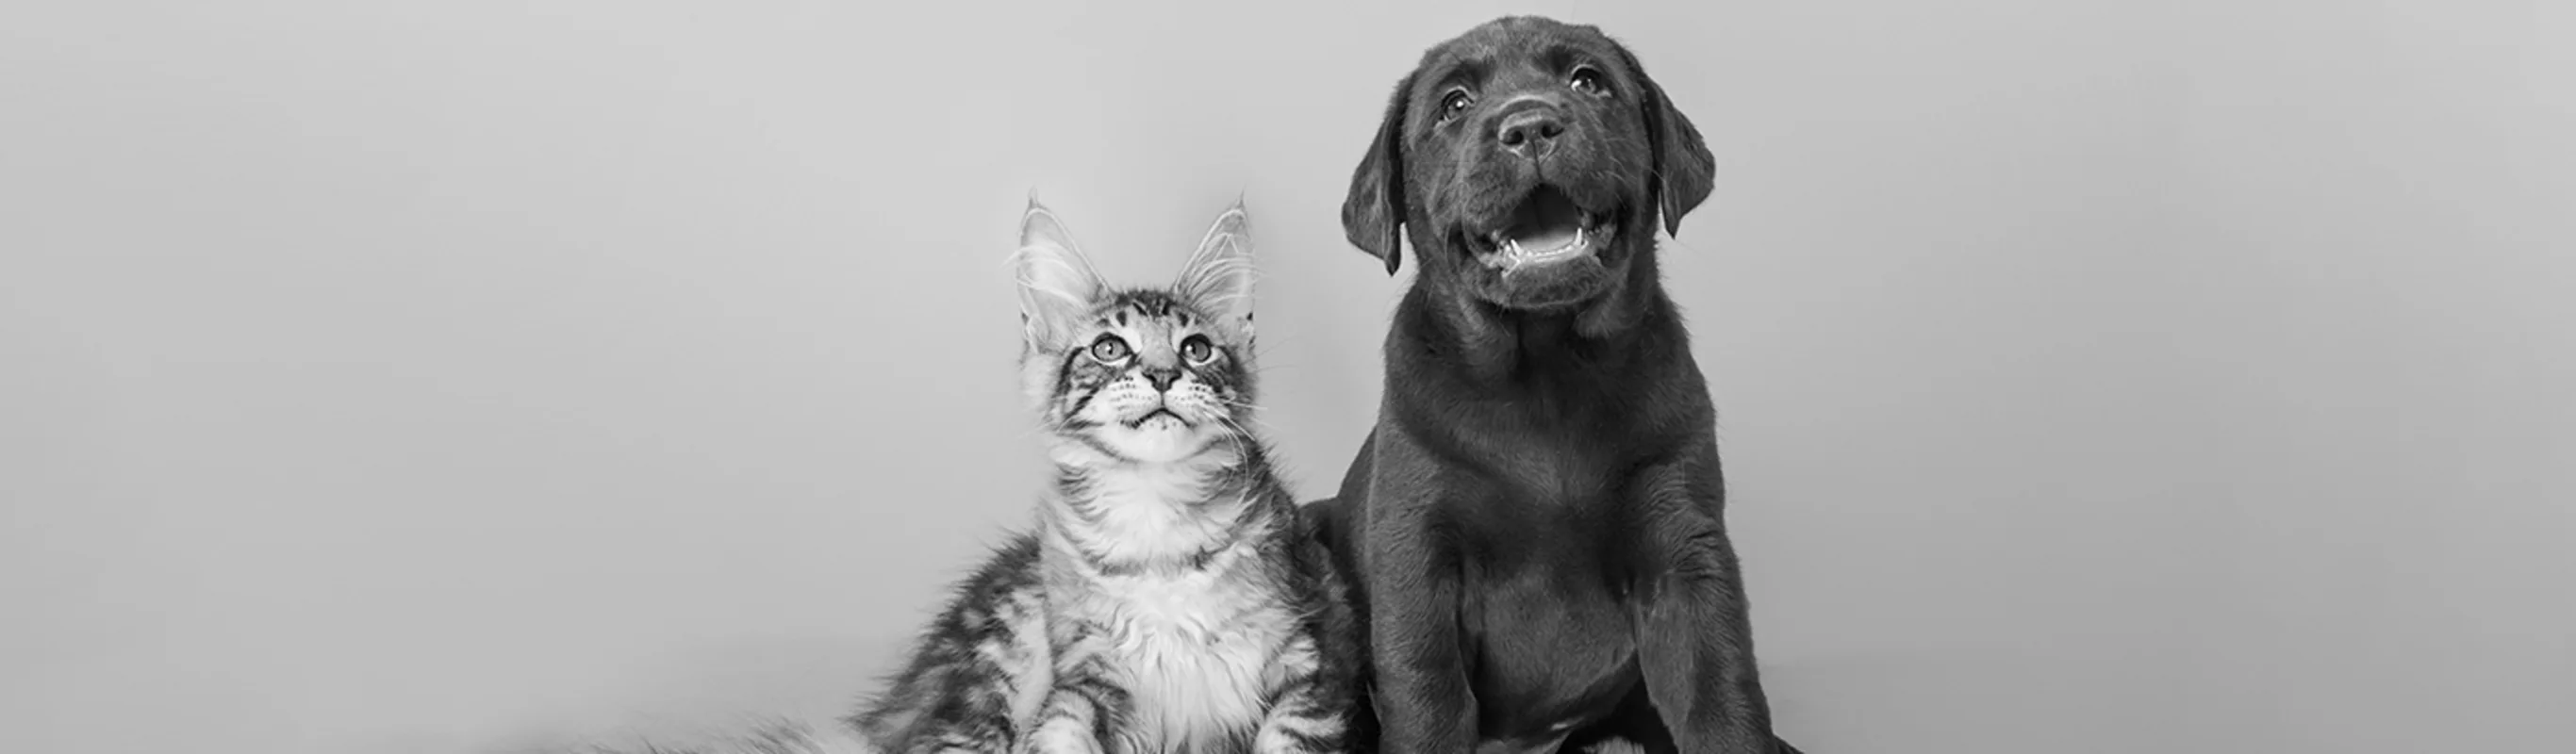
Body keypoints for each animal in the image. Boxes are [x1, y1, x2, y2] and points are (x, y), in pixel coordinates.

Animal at [850, 195, 1370, 751]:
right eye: (1109, 348)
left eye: (1196, 349)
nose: (1163, 374)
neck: (1156, 515)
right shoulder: (1088, 674)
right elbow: (1060, 731)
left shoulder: (1311, 658)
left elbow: (1286, 738)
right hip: (999, 658)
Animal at [1318, 14, 1803, 751]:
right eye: (1454, 104)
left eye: (1587, 81)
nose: (1530, 127)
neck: (1547, 373)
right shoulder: (1417, 558)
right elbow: (1428, 698)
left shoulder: (1684, 550)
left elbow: (1721, 695)